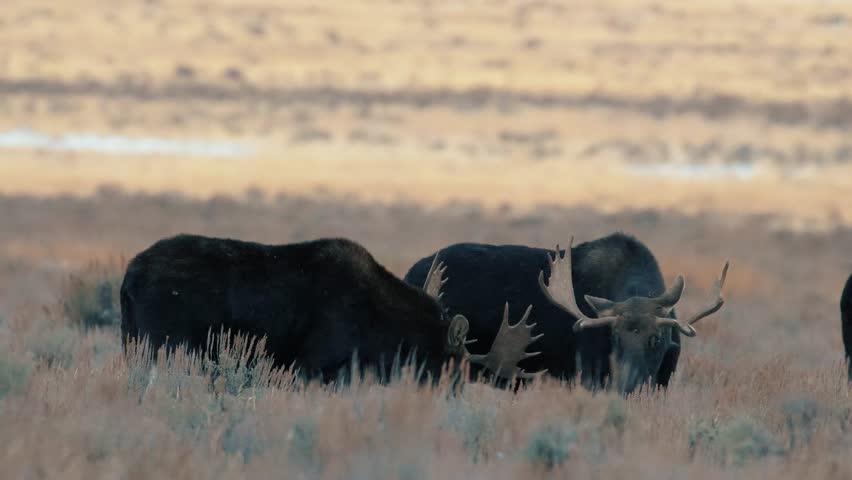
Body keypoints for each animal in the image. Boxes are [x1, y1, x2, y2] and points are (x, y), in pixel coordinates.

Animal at [404, 232, 728, 394]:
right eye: (613, 338)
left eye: (657, 339)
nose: (627, 385)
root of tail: (410, 273)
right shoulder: (588, 374)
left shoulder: (662, 380)